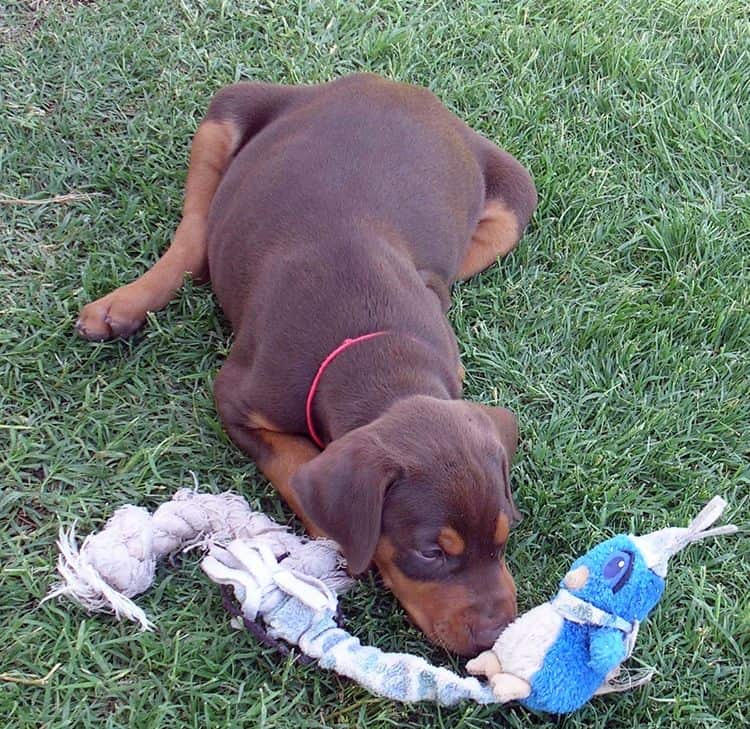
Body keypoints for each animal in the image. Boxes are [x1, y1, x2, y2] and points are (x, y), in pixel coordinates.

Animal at [76, 74, 536, 656]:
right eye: (430, 552)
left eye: (505, 534)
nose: (497, 636)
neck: (376, 350)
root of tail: (392, 85)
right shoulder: (237, 399)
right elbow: (296, 467)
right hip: (229, 110)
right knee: (196, 233)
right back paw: (123, 306)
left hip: (514, 201)